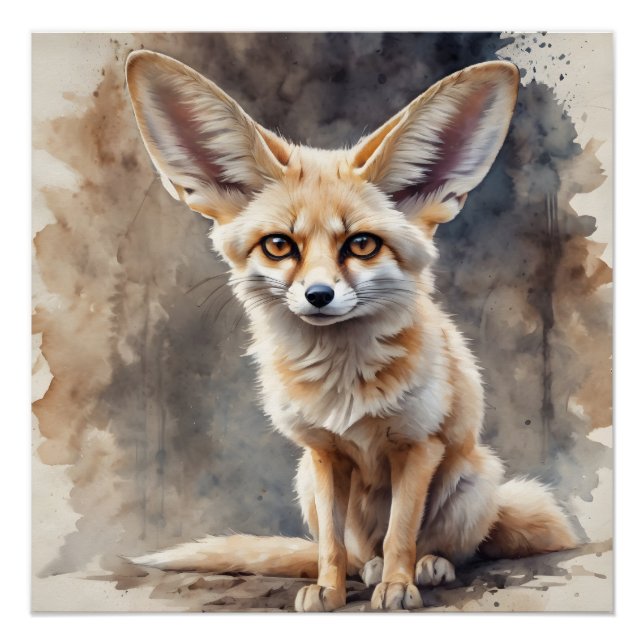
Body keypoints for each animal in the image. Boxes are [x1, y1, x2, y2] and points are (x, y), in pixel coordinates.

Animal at [124, 50, 577, 611]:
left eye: (361, 245)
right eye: (279, 246)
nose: (318, 296)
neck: (344, 384)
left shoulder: (418, 446)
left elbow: (402, 530)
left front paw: (399, 588)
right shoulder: (324, 454)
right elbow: (332, 547)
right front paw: (328, 590)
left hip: (477, 481)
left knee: (445, 545)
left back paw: (427, 567)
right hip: (303, 480)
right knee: (361, 553)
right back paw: (370, 571)